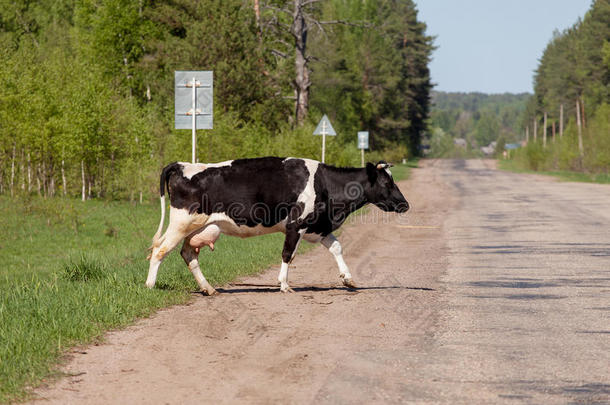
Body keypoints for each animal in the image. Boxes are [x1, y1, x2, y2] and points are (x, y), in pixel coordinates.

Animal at [145, 155, 406, 294]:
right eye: (386, 182)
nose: (405, 204)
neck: (325, 185)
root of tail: (182, 164)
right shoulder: (295, 225)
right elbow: (288, 254)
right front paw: (284, 285)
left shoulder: (319, 227)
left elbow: (337, 247)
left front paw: (348, 279)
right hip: (181, 223)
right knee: (159, 250)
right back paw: (149, 286)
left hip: (199, 227)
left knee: (188, 254)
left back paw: (208, 288)